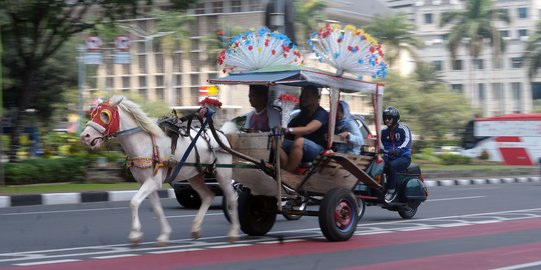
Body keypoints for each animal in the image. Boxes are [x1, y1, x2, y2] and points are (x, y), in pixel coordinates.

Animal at [79, 96, 238, 246]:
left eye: (105, 115)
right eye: (93, 113)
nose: (85, 136)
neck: (144, 143)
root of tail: (222, 134)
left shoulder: (153, 182)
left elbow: (134, 202)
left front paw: (135, 234)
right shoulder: (146, 182)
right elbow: (157, 209)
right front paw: (163, 235)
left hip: (222, 174)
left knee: (231, 197)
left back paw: (233, 231)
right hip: (195, 176)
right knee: (207, 196)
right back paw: (196, 228)